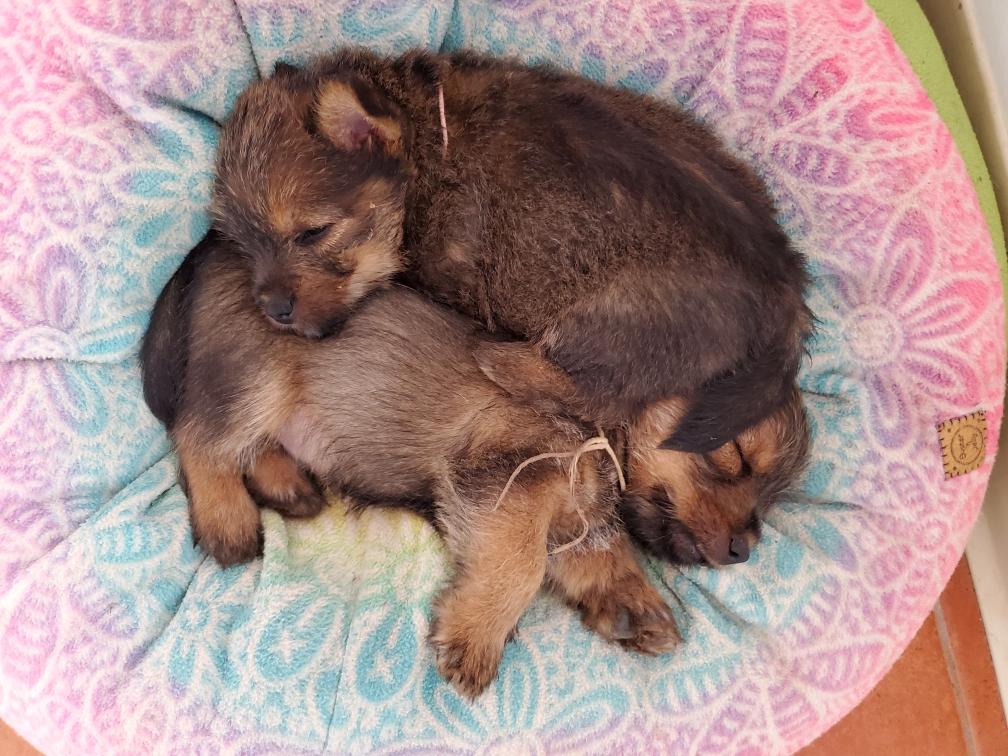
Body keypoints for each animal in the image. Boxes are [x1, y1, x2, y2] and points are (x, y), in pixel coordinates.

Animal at [163, 230, 680, 696]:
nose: (710, 554)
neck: (598, 434)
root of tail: (221, 249)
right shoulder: (506, 483)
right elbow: (523, 564)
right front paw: (475, 636)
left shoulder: (568, 514)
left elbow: (598, 551)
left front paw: (631, 602)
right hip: (256, 379)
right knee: (198, 435)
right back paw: (227, 519)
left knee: (250, 444)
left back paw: (287, 487)